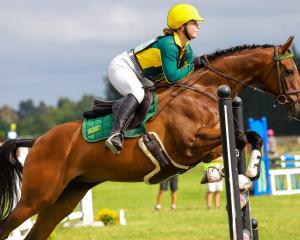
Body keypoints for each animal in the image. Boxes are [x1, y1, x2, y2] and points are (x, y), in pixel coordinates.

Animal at [0, 36, 300, 239]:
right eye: (288, 71)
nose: (297, 108)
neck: (204, 91)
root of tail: (38, 141)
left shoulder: (205, 146)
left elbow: (248, 138)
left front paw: (244, 173)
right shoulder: (189, 144)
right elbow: (238, 137)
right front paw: (228, 173)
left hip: (65, 198)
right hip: (37, 197)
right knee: (7, 226)